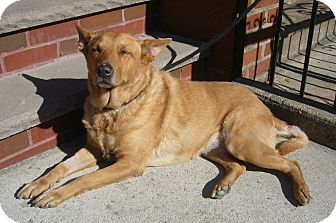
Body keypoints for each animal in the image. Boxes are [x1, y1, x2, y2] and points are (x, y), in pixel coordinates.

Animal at [15, 25, 310, 207]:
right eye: (96, 49)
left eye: (125, 52)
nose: (103, 71)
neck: (113, 109)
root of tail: (266, 110)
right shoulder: (93, 149)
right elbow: (60, 168)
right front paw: (37, 184)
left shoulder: (130, 163)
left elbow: (82, 178)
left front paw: (56, 194)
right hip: (213, 148)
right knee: (239, 166)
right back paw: (222, 185)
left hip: (243, 142)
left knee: (291, 163)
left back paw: (300, 190)